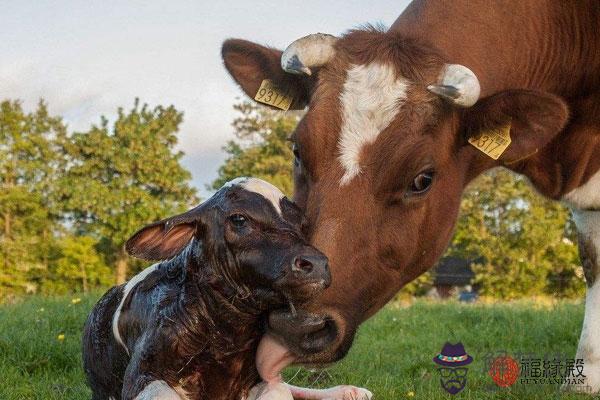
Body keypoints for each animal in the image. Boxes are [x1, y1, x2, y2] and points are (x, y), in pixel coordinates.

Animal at [81, 179, 336, 400]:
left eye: (302, 225)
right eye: (239, 219)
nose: (316, 264)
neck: (227, 335)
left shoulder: (263, 377)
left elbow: (279, 390)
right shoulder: (142, 374)